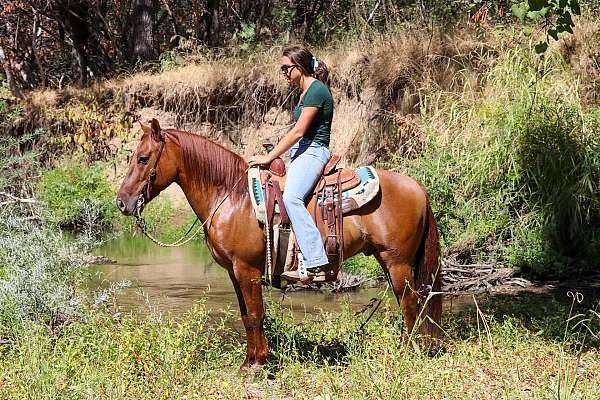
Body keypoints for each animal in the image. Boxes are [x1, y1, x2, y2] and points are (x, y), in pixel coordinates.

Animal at [117, 119, 442, 368]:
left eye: (143, 158)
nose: (122, 202)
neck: (233, 197)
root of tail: (417, 187)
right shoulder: (234, 272)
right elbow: (246, 316)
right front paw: (248, 361)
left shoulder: (247, 270)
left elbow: (256, 314)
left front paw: (259, 363)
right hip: (388, 260)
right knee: (409, 302)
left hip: (397, 261)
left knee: (410, 302)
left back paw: (406, 352)